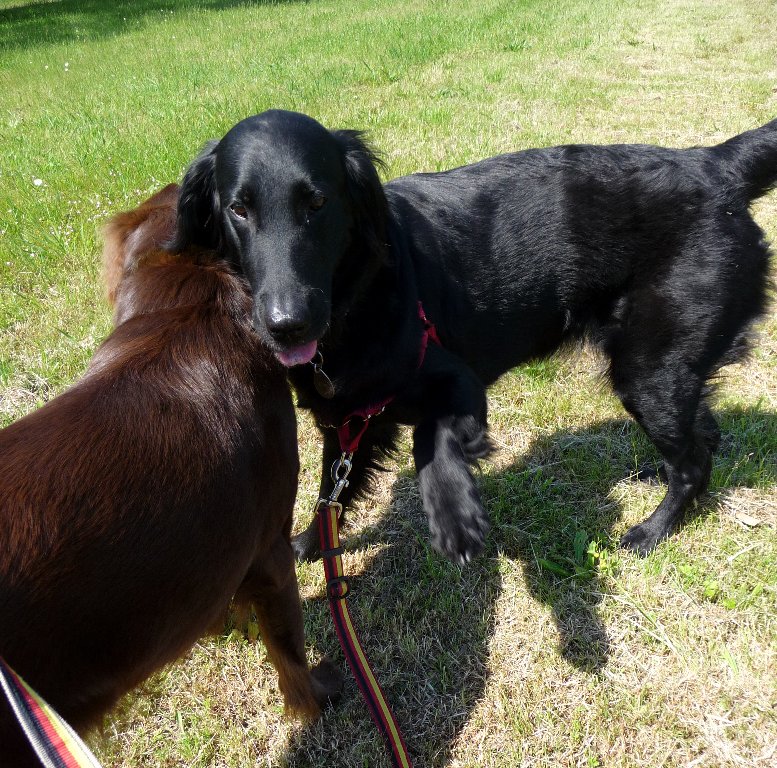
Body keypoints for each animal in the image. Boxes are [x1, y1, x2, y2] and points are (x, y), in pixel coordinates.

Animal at [172, 110, 776, 565]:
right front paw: (306, 547)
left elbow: (432, 433)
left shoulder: (453, 377)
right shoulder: (345, 421)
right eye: (239, 209)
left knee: (692, 461)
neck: (357, 293)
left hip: (649, 369)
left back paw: (652, 530)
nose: (287, 322)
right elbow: (330, 494)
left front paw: (453, 513)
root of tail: (714, 162)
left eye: (317, 203)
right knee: (704, 436)